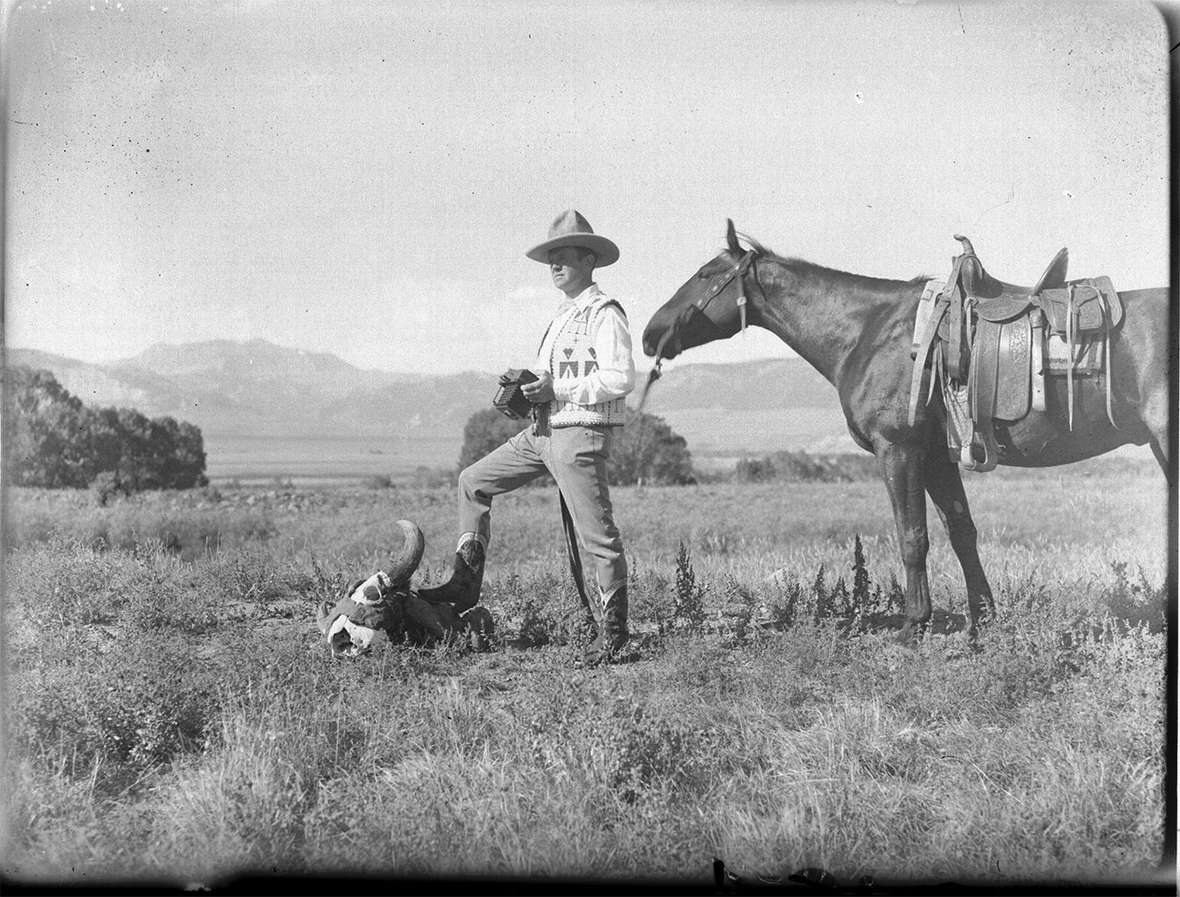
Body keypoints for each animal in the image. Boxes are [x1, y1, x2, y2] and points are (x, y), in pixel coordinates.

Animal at [646, 224, 1170, 646]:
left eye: (704, 274)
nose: (651, 334)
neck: (868, 332)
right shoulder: (937, 456)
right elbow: (961, 532)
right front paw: (982, 620)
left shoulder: (898, 450)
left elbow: (912, 536)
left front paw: (914, 625)